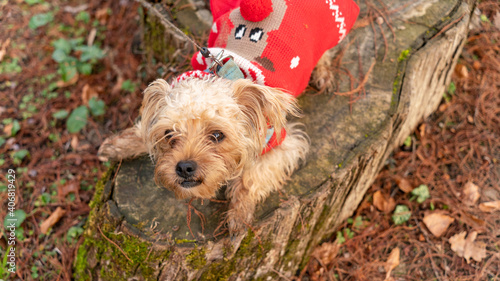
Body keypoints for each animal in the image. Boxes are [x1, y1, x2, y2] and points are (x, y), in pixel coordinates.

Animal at [97, 0, 358, 234]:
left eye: (217, 135)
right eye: (169, 135)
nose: (184, 167)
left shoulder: (283, 144)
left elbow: (251, 178)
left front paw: (238, 215)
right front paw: (118, 146)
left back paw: (323, 73)